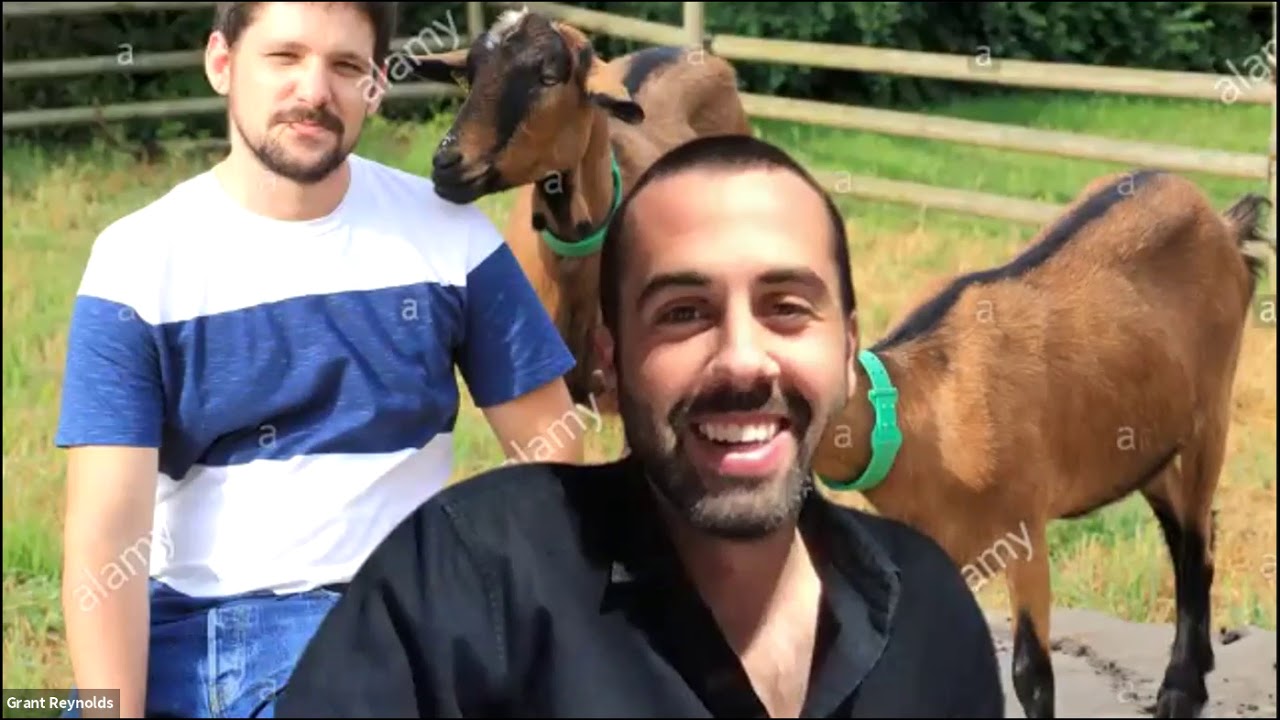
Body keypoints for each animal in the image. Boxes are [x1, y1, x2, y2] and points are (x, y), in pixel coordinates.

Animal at [811, 169, 1274, 719]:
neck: (916, 405)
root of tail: (1224, 224)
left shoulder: (1022, 524)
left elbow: (1030, 672)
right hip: (1148, 440)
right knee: (1184, 528)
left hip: (1212, 411)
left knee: (1196, 542)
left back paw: (1180, 690)